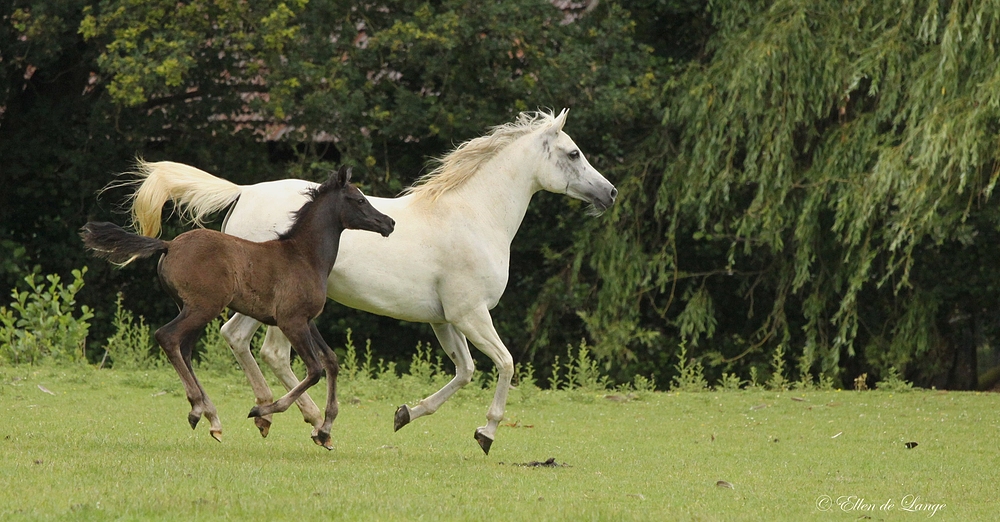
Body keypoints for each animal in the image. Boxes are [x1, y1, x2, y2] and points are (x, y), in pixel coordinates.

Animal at [82, 167, 394, 446]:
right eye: (359, 200)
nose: (388, 223)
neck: (304, 256)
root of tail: (168, 245)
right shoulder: (291, 321)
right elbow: (315, 370)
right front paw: (263, 411)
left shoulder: (307, 320)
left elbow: (331, 361)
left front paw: (325, 430)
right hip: (202, 308)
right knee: (167, 337)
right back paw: (199, 408)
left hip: (190, 309)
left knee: (184, 349)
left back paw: (210, 417)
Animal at [127, 108, 616, 450]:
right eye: (573, 153)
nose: (609, 193)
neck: (474, 216)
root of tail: (244, 192)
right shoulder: (471, 314)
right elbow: (506, 364)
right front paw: (487, 433)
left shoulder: (445, 320)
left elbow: (465, 371)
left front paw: (405, 414)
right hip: (274, 308)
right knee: (260, 348)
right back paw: (292, 418)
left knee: (248, 343)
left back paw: (279, 416)